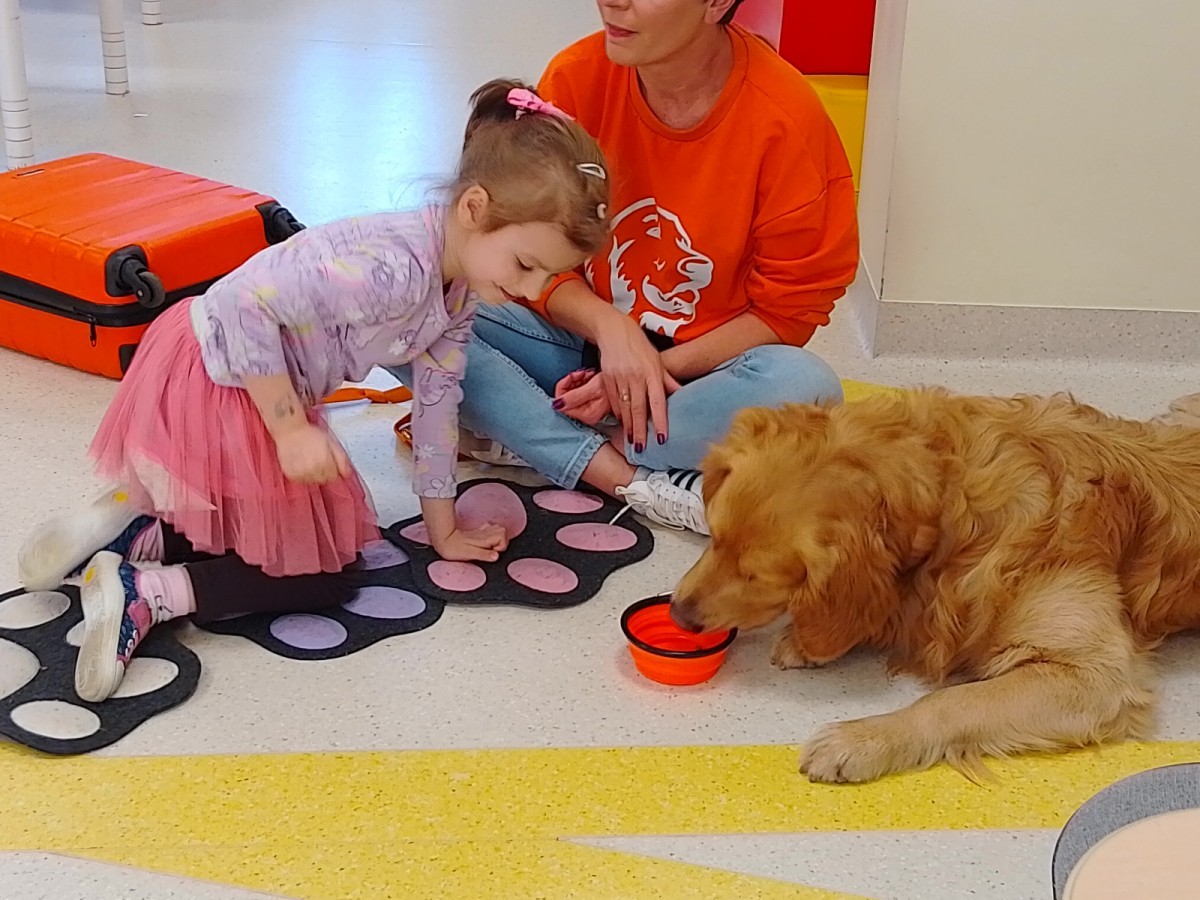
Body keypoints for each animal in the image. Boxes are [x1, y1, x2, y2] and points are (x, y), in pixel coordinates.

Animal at [671, 389, 1200, 784]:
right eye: (714, 536)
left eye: (755, 575)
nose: (678, 614)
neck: (956, 506)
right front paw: (810, 640)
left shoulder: (1096, 677)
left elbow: (950, 701)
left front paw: (862, 739)